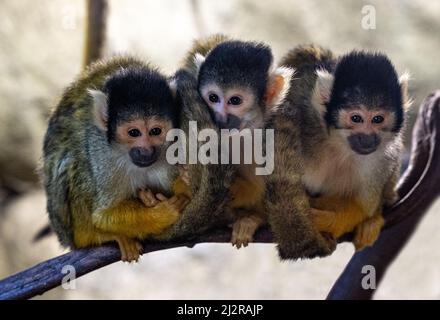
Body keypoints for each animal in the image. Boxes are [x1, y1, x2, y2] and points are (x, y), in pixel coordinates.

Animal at [42, 57, 189, 262]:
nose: (146, 151)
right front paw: (162, 212)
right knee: (73, 161)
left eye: (155, 131)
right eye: (134, 132)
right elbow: (102, 215)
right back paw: (93, 236)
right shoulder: (101, 152)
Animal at [280, 47, 410, 251]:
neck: (339, 144)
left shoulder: (381, 160)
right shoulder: (301, 127)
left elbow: (361, 207)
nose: (366, 139)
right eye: (356, 118)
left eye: (378, 119)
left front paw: (324, 219)